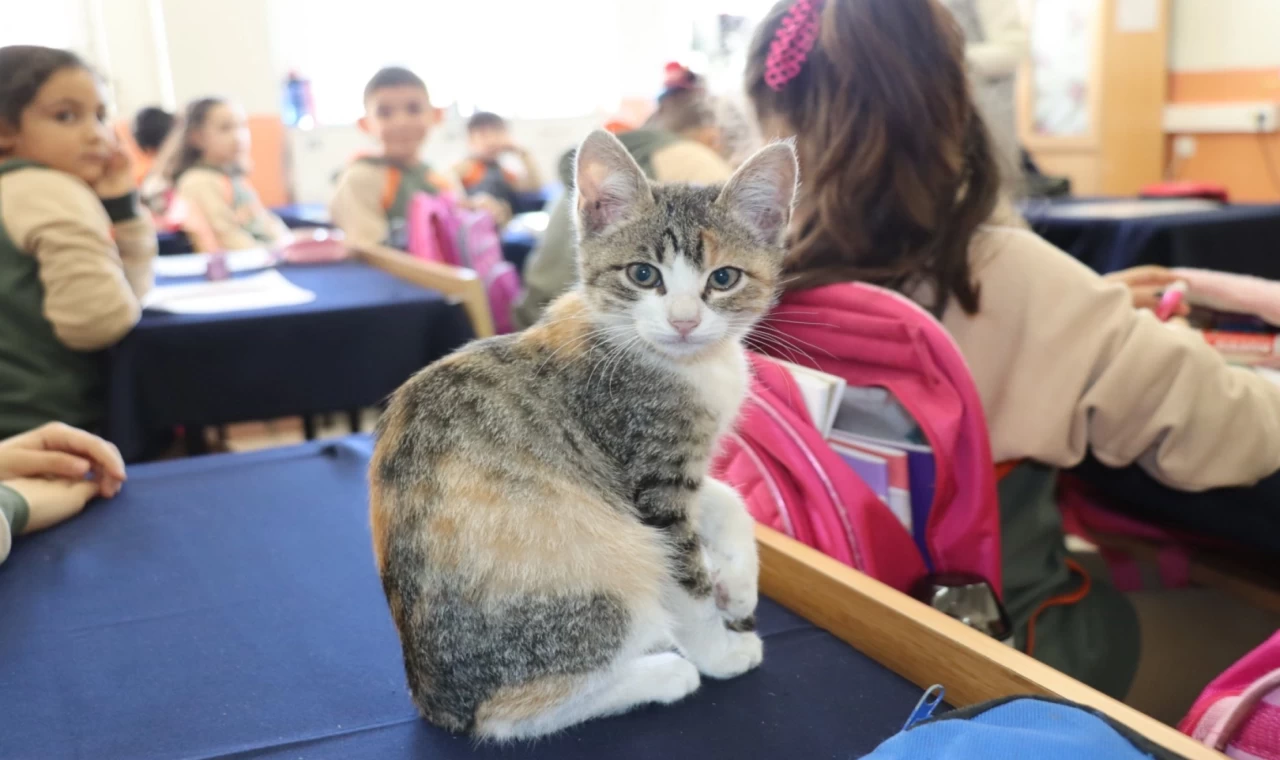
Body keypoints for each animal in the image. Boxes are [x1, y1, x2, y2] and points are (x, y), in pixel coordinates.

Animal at [366, 130, 793, 742]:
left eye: (723, 278)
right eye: (643, 275)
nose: (684, 321)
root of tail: (433, 700)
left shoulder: (666, 474)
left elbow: (728, 497)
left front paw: (737, 583)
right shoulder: (648, 481)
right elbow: (685, 584)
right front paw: (720, 650)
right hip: (610, 566)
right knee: (503, 717)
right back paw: (665, 674)